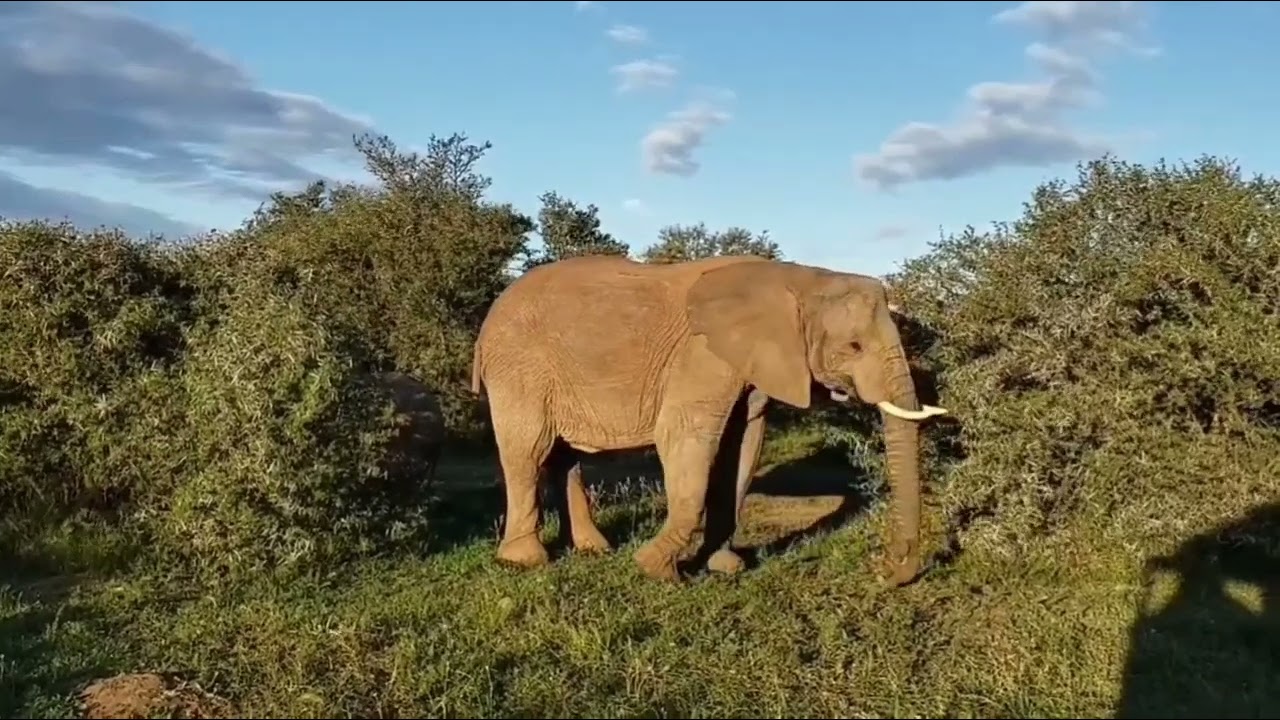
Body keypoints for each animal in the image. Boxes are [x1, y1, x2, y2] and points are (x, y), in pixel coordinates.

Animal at [469, 254, 947, 585]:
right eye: (853, 347)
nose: (887, 569)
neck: (800, 277)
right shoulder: (702, 355)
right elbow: (686, 437)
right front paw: (656, 570)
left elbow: (743, 447)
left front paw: (724, 568)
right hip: (518, 365)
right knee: (528, 449)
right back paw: (526, 561)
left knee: (564, 458)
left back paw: (594, 550)